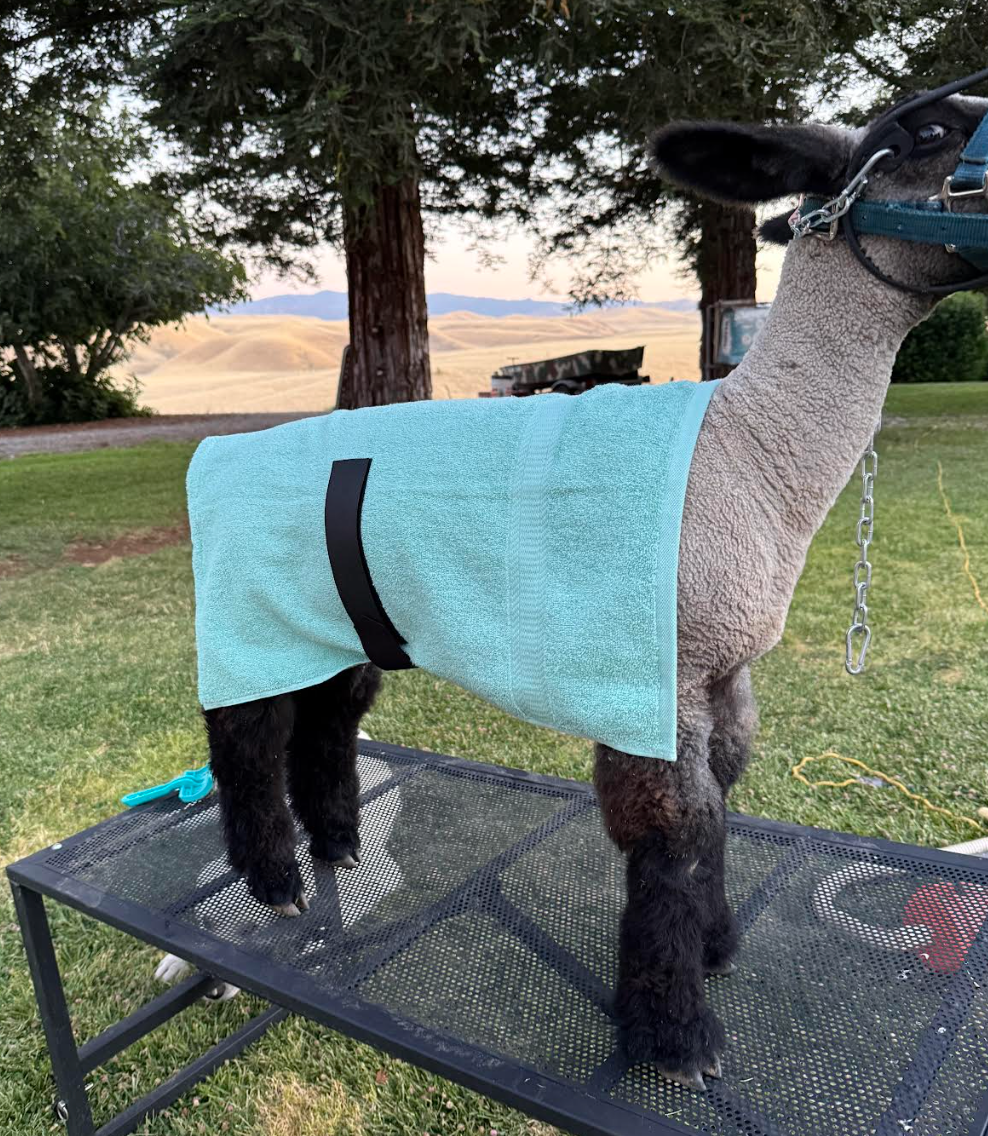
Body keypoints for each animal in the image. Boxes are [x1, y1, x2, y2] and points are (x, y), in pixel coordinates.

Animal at [192, 87, 988, 1091]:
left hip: (335, 618)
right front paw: (675, 1037)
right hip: (246, 606)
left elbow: (719, 810)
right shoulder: (655, 671)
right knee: (246, 735)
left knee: (329, 718)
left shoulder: (721, 672)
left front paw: (716, 949)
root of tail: (219, 455)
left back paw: (336, 843)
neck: (749, 456)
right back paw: (275, 881)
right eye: (932, 131)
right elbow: (673, 835)